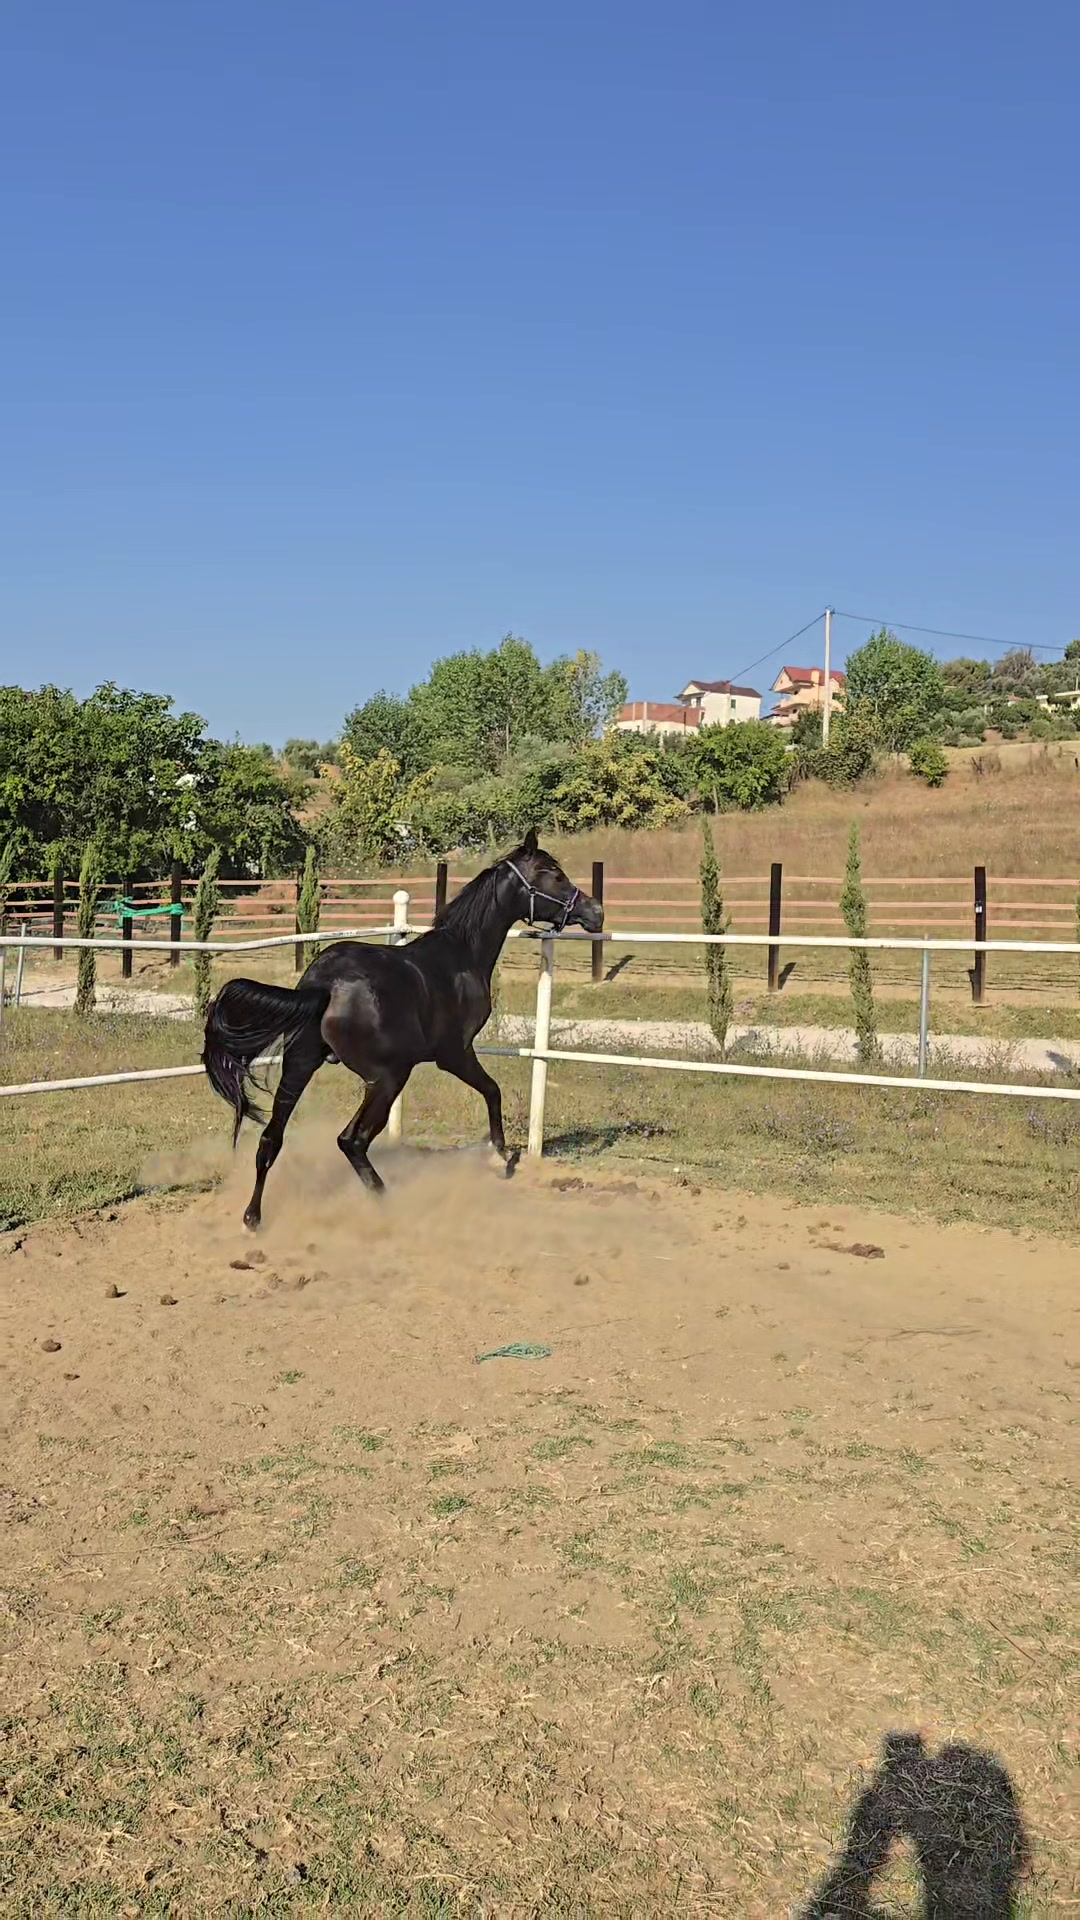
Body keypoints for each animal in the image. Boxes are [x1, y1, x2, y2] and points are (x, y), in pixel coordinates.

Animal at [201, 830, 603, 1229]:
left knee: (272, 1138)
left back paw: (253, 1218)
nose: (595, 911)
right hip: (387, 1077)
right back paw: (387, 1202)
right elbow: (493, 1091)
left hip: (300, 1065)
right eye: (555, 875)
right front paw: (500, 1157)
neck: (461, 955)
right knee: (352, 1140)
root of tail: (324, 985)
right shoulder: (454, 1054)